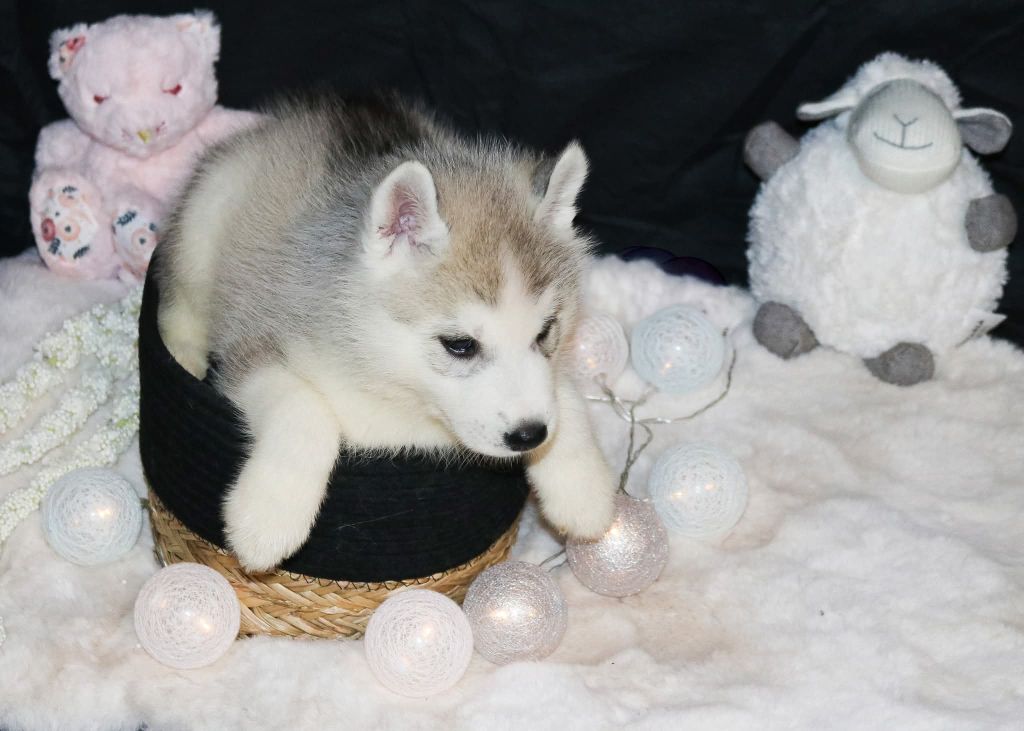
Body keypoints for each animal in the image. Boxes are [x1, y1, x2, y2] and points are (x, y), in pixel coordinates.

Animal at [156, 94, 617, 571]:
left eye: (545, 333)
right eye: (460, 346)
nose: (530, 435)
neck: (398, 392)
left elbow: (563, 392)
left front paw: (584, 488)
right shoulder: (252, 345)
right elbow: (304, 408)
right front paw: (268, 516)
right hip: (203, 225)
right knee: (180, 302)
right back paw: (182, 352)